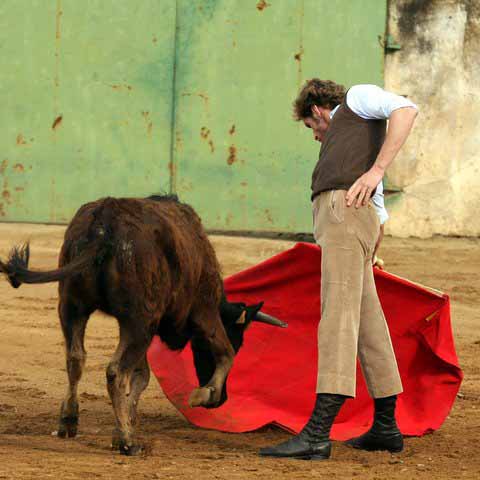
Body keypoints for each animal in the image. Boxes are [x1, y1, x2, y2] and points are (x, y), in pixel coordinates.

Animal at [0, 194, 284, 454]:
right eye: (239, 338)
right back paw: (128, 442)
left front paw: (122, 425)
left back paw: (69, 421)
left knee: (75, 358)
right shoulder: (203, 311)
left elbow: (142, 376)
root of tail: (104, 223)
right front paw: (202, 395)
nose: (221, 401)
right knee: (116, 371)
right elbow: (225, 353)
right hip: (139, 321)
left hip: (72, 308)